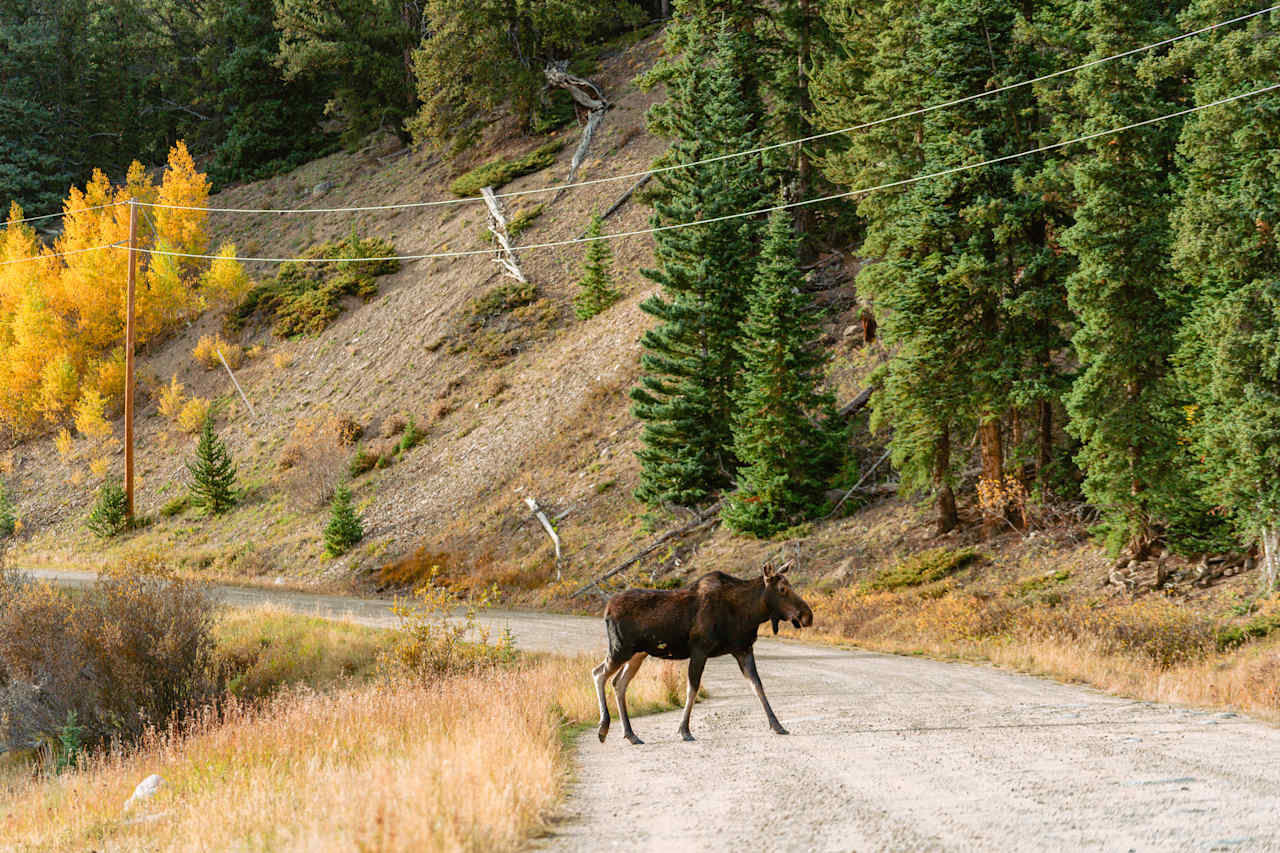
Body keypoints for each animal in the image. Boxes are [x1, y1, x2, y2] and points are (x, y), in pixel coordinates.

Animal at [593, 555, 814, 742]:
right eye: (783, 589)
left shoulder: (743, 649)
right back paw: (603, 728)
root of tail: (606, 610)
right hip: (620, 649)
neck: (747, 614)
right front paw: (684, 730)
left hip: (637, 654)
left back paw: (630, 734)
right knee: (599, 673)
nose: (807, 616)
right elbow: (692, 688)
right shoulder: (700, 650)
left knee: (618, 682)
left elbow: (758, 685)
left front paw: (777, 725)